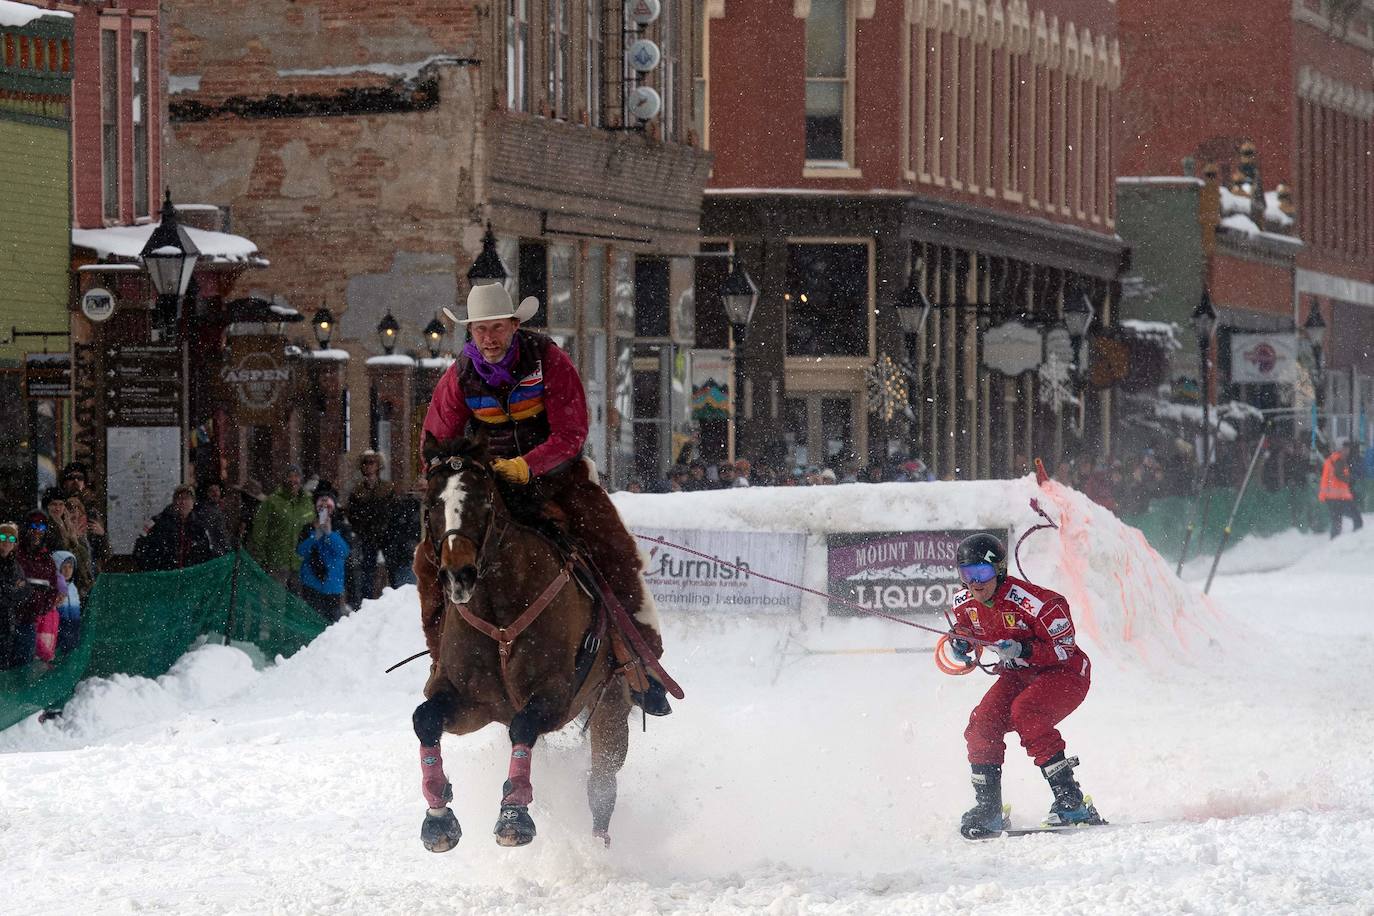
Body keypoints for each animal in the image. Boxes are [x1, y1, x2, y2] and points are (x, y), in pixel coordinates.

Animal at [409, 431, 629, 851]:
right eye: (431, 505)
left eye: (484, 500)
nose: (458, 574)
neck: (500, 613)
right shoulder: (471, 703)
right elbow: (424, 718)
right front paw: (438, 817)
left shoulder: (555, 696)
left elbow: (524, 727)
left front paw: (514, 813)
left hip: (610, 703)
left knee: (603, 784)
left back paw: (598, 848)